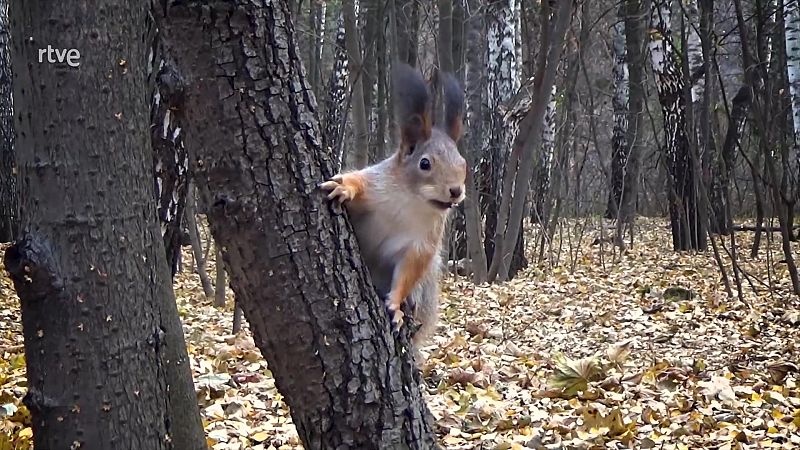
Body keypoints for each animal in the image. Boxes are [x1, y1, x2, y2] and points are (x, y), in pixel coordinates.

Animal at [320, 64, 466, 352]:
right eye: (424, 163)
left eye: (463, 162)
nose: (456, 191)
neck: (412, 201)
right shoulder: (376, 183)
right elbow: (358, 183)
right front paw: (345, 188)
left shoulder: (424, 242)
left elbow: (410, 270)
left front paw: (396, 305)